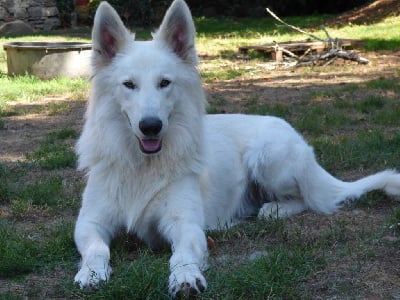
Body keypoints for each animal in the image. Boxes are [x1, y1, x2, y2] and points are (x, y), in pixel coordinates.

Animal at [74, 0, 400, 296]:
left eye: (165, 83)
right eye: (128, 85)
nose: (151, 126)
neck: (142, 165)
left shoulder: (185, 225)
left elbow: (182, 255)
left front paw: (186, 277)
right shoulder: (90, 222)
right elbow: (97, 249)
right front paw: (91, 273)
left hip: (268, 156)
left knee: (310, 199)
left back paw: (273, 209)